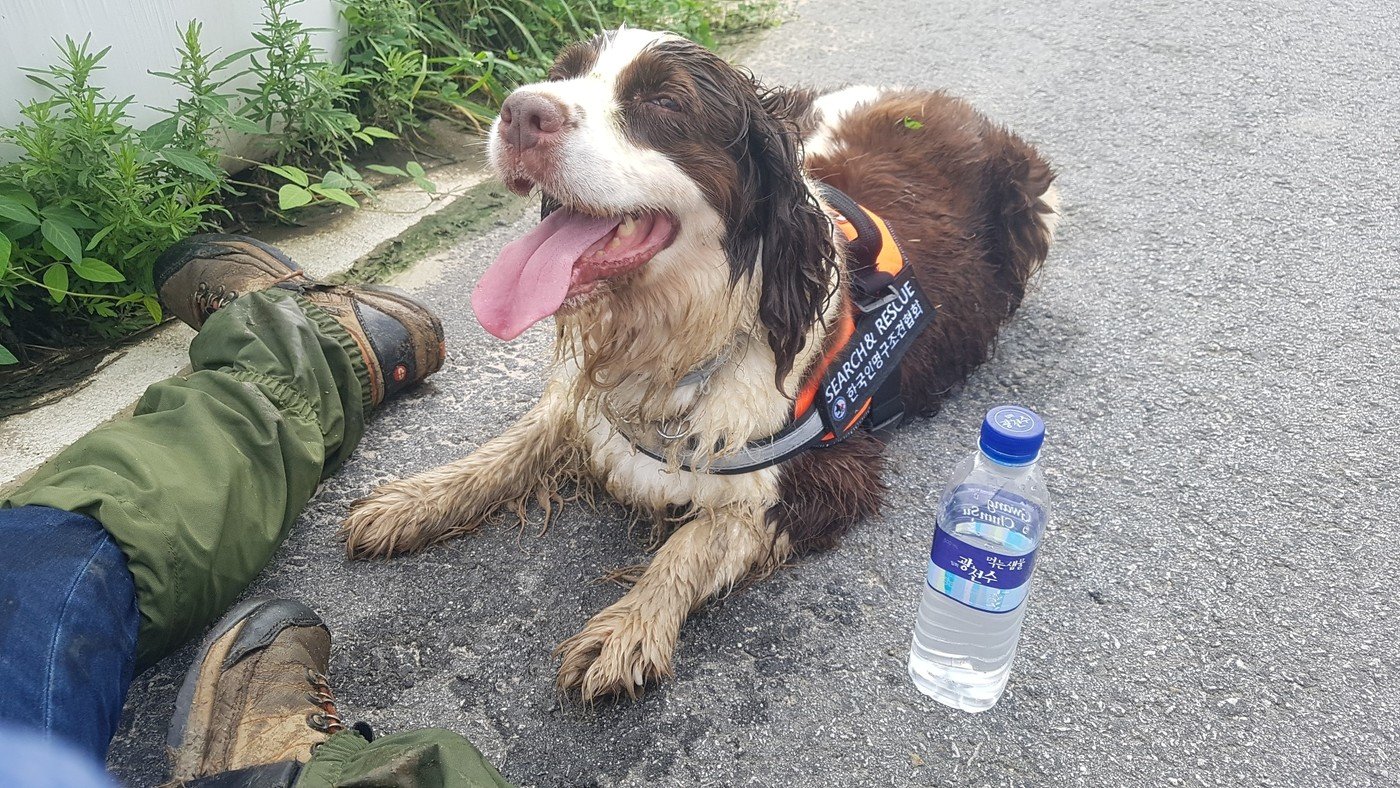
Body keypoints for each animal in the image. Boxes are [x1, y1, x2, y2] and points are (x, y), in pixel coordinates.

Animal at [341, 27, 1058, 699]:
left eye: (664, 101)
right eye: (562, 73)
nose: (519, 112)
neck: (685, 337)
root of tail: (943, 101)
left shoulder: (829, 474)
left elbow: (697, 538)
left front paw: (630, 627)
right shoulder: (587, 406)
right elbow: (511, 445)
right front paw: (413, 500)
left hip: (1037, 207)